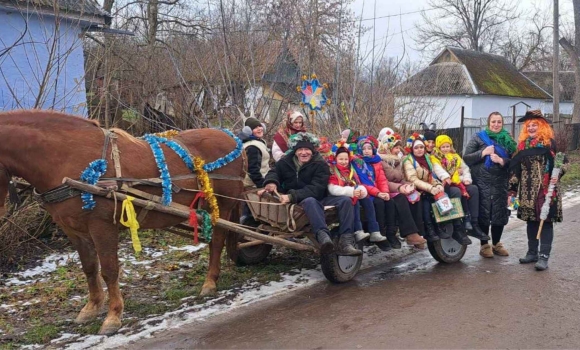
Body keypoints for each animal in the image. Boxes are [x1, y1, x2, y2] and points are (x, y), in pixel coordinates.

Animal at [0, 109, 242, 334]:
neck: (67, 157)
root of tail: (231, 136)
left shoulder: (102, 225)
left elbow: (109, 270)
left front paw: (113, 317)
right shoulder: (73, 230)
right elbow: (89, 268)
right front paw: (91, 308)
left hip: (223, 206)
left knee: (216, 242)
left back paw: (210, 282)